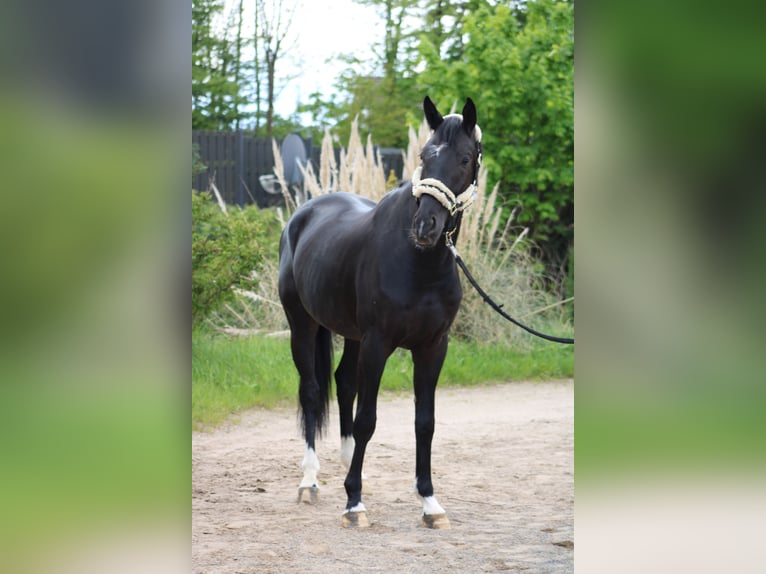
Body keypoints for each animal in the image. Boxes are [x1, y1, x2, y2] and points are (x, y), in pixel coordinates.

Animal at [276, 95, 484, 532]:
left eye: (464, 158)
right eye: (424, 155)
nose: (426, 226)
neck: (419, 262)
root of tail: (304, 213)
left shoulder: (433, 347)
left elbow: (425, 422)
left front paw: (429, 502)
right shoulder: (378, 344)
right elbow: (367, 420)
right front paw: (353, 503)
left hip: (352, 335)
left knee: (342, 383)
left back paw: (348, 468)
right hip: (303, 326)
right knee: (312, 390)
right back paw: (310, 481)